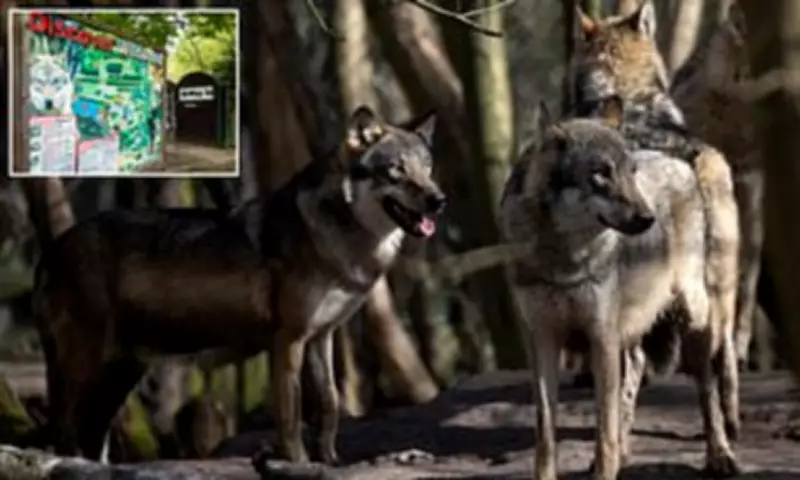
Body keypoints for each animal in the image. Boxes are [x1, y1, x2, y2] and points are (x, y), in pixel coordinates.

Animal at [32, 106, 444, 465]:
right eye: (396, 170)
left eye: (427, 168)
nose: (438, 199)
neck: (336, 241)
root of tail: (53, 248)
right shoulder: (288, 340)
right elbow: (291, 417)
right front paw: (298, 463)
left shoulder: (321, 337)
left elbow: (329, 407)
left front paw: (330, 461)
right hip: (85, 368)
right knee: (65, 432)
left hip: (119, 375)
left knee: (89, 437)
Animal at [501, 98, 740, 480]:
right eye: (601, 173)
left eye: (631, 171)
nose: (648, 218)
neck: (562, 256)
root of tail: (678, 159)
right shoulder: (543, 340)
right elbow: (547, 434)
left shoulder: (602, 337)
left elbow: (604, 432)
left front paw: (606, 466)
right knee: (637, 368)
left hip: (693, 315)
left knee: (707, 387)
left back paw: (720, 454)